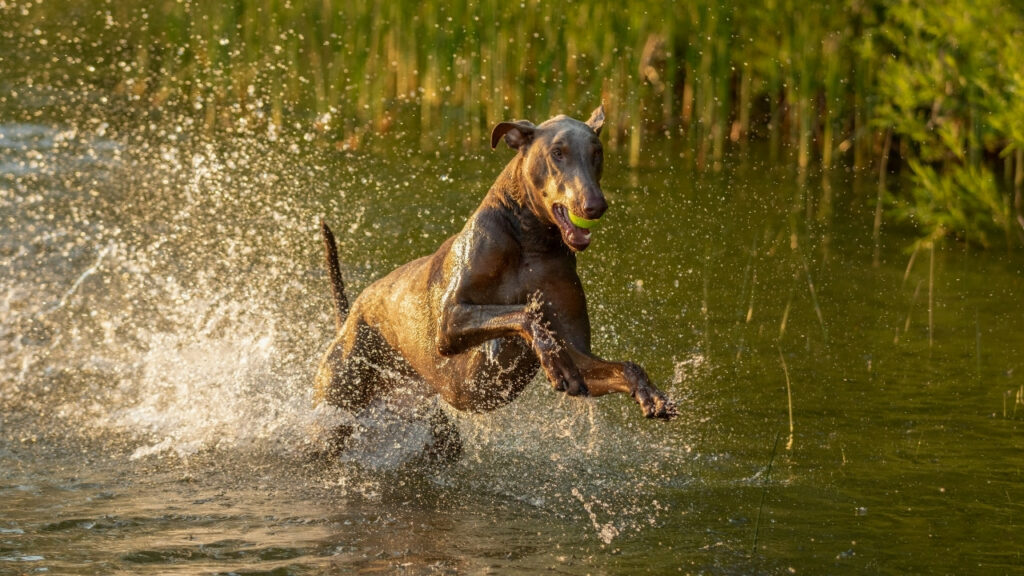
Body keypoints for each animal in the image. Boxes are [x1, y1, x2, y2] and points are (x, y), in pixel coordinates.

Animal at [315, 105, 675, 455]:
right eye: (557, 152)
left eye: (596, 152)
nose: (595, 205)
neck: (529, 241)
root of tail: (350, 316)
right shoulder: (449, 324)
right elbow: (525, 314)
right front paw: (553, 359)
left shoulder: (578, 354)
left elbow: (622, 367)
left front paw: (651, 395)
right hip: (339, 396)